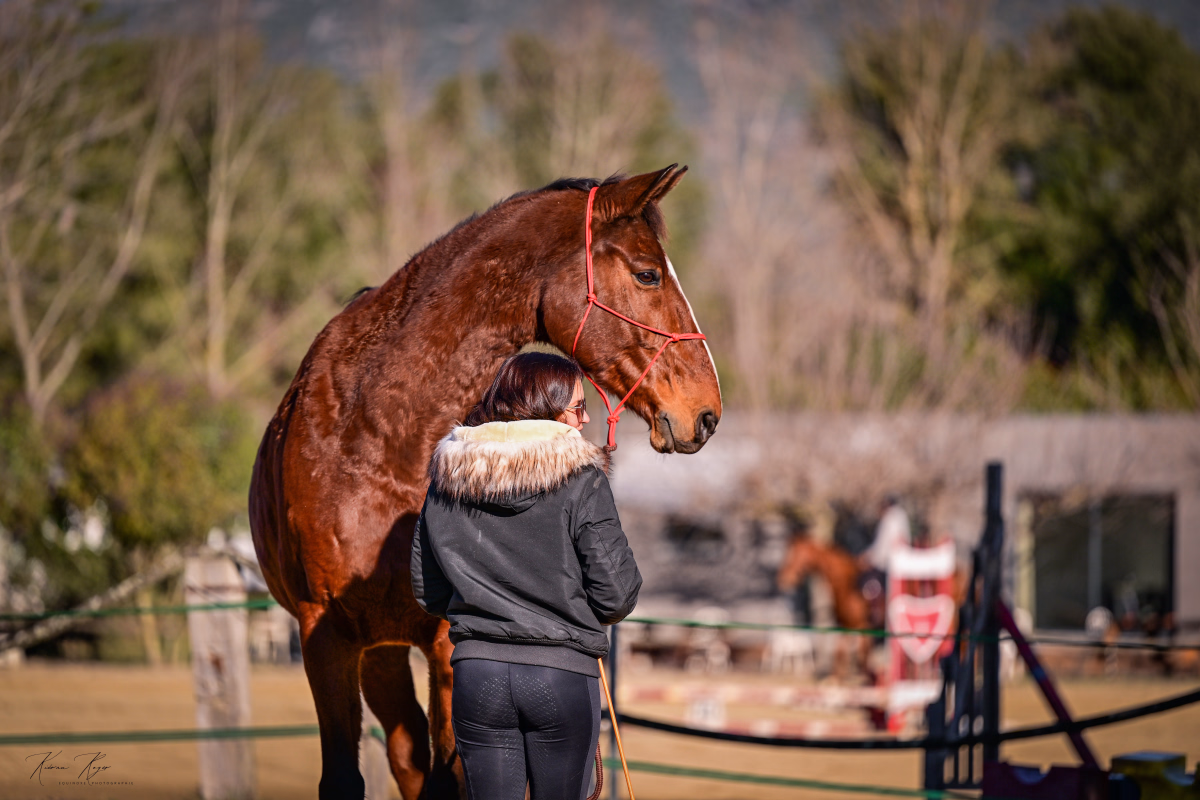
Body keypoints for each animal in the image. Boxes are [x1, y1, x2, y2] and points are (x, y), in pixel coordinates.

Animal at [248, 165, 721, 799]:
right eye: (647, 273)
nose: (706, 412)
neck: (375, 433)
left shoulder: (447, 642)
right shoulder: (323, 635)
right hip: (377, 650)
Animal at [776, 535, 874, 680]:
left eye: (795, 555)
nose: (783, 579)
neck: (849, 590)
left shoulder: (863, 626)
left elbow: (863, 654)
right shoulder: (845, 627)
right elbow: (840, 652)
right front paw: (836, 677)